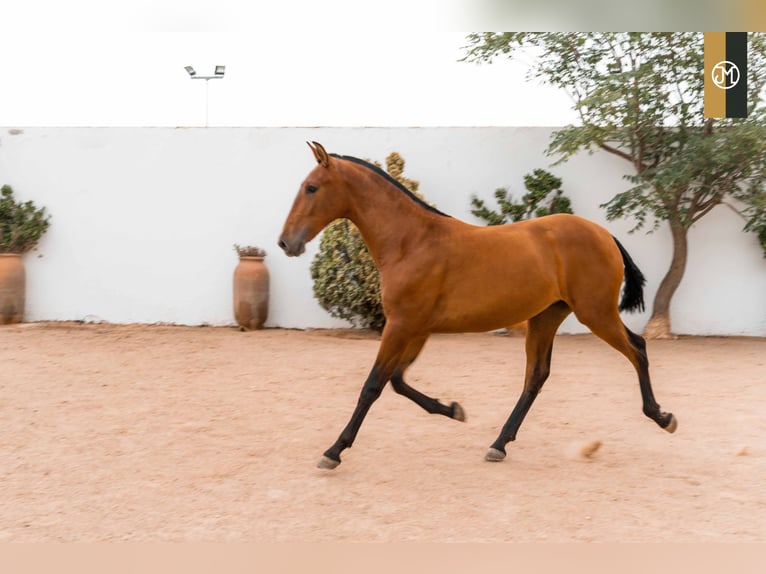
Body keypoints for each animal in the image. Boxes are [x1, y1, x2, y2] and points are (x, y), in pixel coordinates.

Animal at [280, 142, 676, 470]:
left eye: (311, 187)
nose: (286, 242)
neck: (411, 242)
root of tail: (604, 234)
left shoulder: (401, 325)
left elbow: (373, 386)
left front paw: (333, 451)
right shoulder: (416, 329)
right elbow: (397, 381)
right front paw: (453, 410)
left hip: (595, 312)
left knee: (637, 348)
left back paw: (662, 417)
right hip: (546, 317)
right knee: (536, 376)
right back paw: (499, 444)